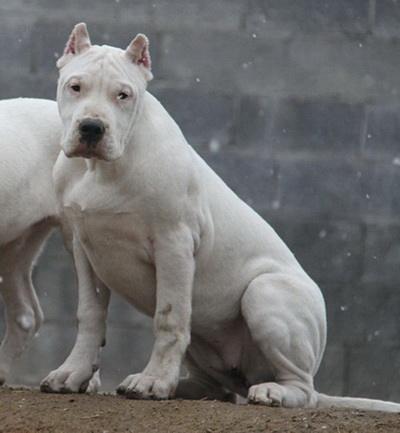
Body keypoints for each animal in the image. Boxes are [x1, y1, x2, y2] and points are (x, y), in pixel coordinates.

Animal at [39, 21, 400, 412]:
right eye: (75, 86)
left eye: (123, 95)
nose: (92, 127)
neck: (101, 170)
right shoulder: (84, 248)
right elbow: (89, 314)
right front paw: (73, 373)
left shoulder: (174, 244)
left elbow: (168, 318)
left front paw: (153, 382)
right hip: (207, 341)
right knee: (218, 386)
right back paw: (184, 386)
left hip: (264, 293)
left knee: (302, 389)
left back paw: (272, 392)